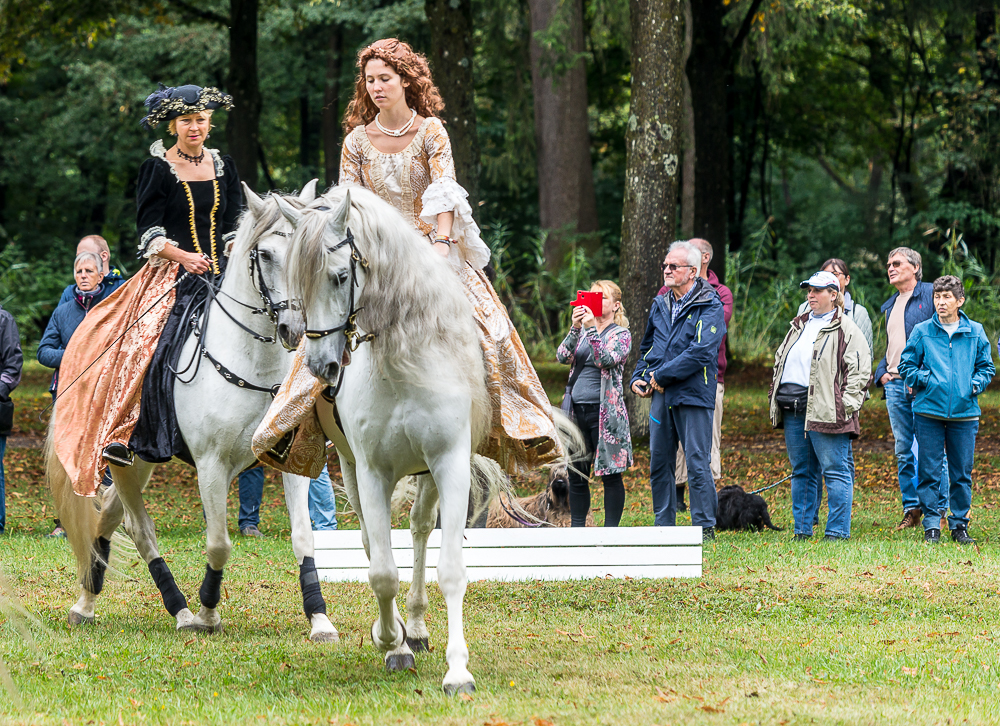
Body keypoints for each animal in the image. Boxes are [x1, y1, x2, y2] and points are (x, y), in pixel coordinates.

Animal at [47, 182, 340, 644]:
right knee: (139, 529)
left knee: (108, 516)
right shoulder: (211, 465)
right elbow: (219, 542)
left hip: (142, 461)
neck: (253, 362)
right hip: (124, 459)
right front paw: (207, 613)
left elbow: (303, 537)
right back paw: (175, 611)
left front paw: (320, 619)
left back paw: (94, 603)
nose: (294, 330)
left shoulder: (289, 461)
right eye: (266, 254)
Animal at [276, 185, 504, 696]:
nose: (322, 365)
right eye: (298, 283)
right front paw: (389, 642)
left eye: (341, 276)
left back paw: (417, 628)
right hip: (348, 466)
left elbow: (450, 569)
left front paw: (458, 671)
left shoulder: (449, 463)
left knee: (420, 531)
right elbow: (381, 571)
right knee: (371, 540)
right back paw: (401, 633)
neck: (405, 359)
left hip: (429, 475)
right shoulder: (372, 471)